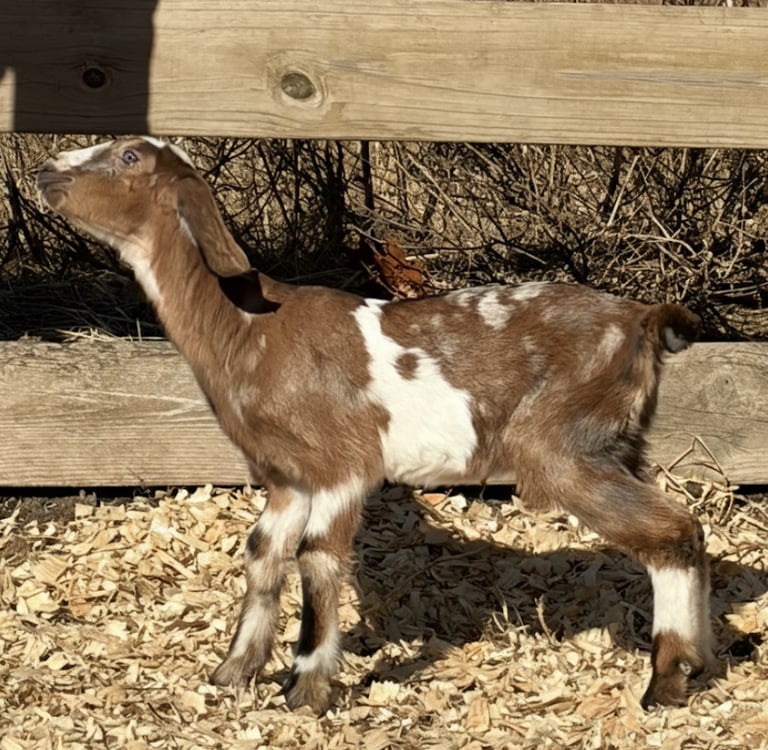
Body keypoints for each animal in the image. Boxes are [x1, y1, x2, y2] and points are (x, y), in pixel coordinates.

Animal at [38, 137, 711, 713]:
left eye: (129, 156)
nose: (46, 170)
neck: (249, 329)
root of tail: (642, 318)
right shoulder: (287, 476)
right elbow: (263, 552)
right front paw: (233, 672)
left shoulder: (341, 463)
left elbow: (316, 557)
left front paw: (306, 689)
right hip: (614, 440)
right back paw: (698, 662)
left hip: (561, 442)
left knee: (672, 529)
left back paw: (668, 680)